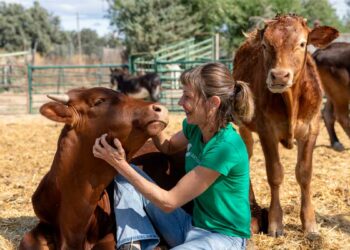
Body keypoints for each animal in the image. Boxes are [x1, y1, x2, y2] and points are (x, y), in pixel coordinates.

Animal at [232, 13, 340, 236]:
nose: (280, 76)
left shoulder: (311, 130)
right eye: (265, 45)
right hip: (243, 124)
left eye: (302, 43)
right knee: (246, 154)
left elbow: (304, 174)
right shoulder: (266, 131)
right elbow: (275, 174)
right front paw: (275, 222)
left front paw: (310, 225)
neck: (291, 101)